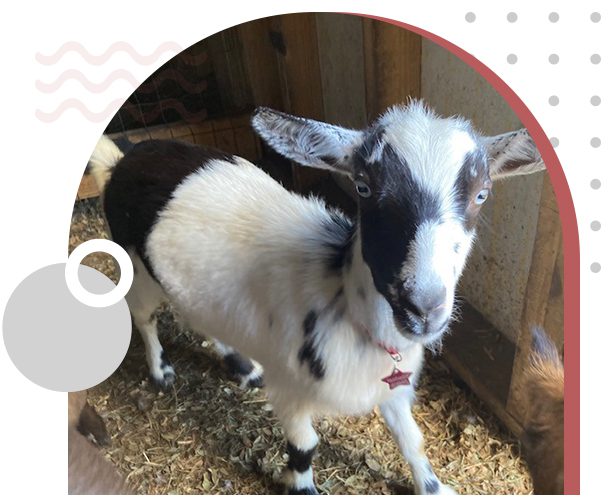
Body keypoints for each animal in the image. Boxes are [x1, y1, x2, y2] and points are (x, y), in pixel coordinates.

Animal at [91, 99, 548, 492]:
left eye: (482, 194)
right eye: (362, 187)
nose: (424, 307)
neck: (345, 308)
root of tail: (124, 158)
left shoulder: (393, 387)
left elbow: (412, 440)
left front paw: (433, 487)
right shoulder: (290, 389)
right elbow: (305, 446)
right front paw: (301, 485)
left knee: (200, 318)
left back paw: (243, 368)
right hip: (137, 266)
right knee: (144, 317)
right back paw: (161, 371)